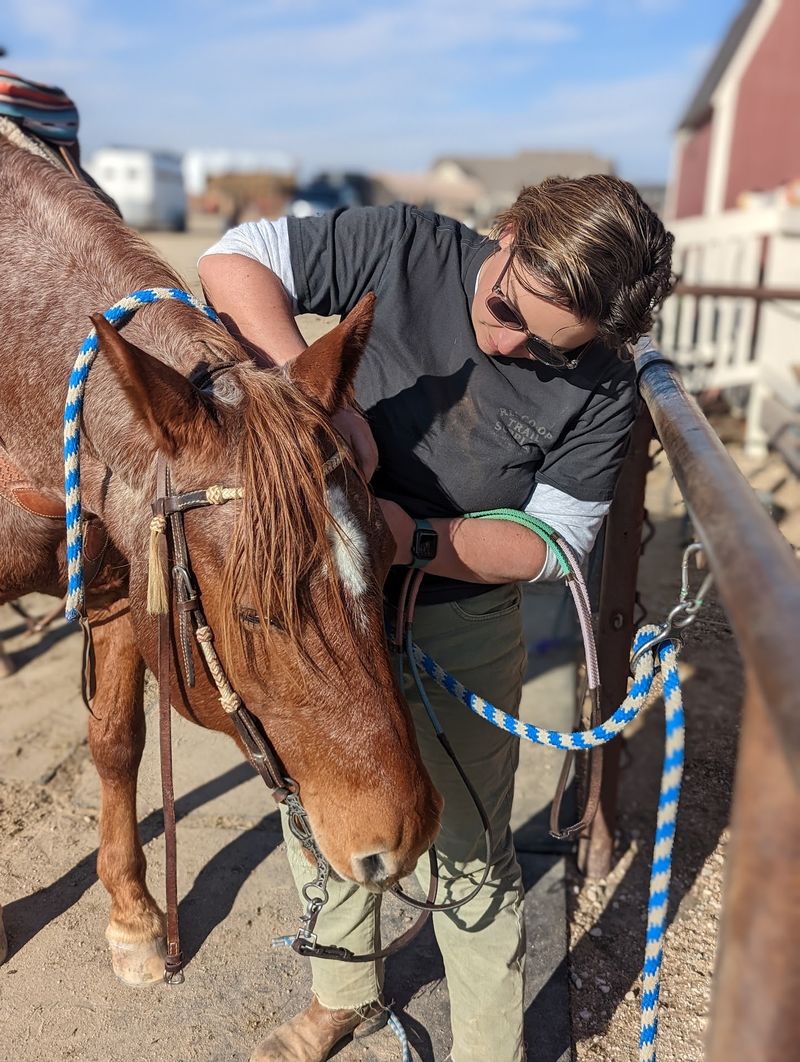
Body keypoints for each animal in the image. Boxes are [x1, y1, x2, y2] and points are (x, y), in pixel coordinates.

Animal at [0, 137, 442, 986]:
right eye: (254, 614)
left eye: (382, 572)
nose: (400, 842)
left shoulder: (118, 587)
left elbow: (116, 741)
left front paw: (135, 918)